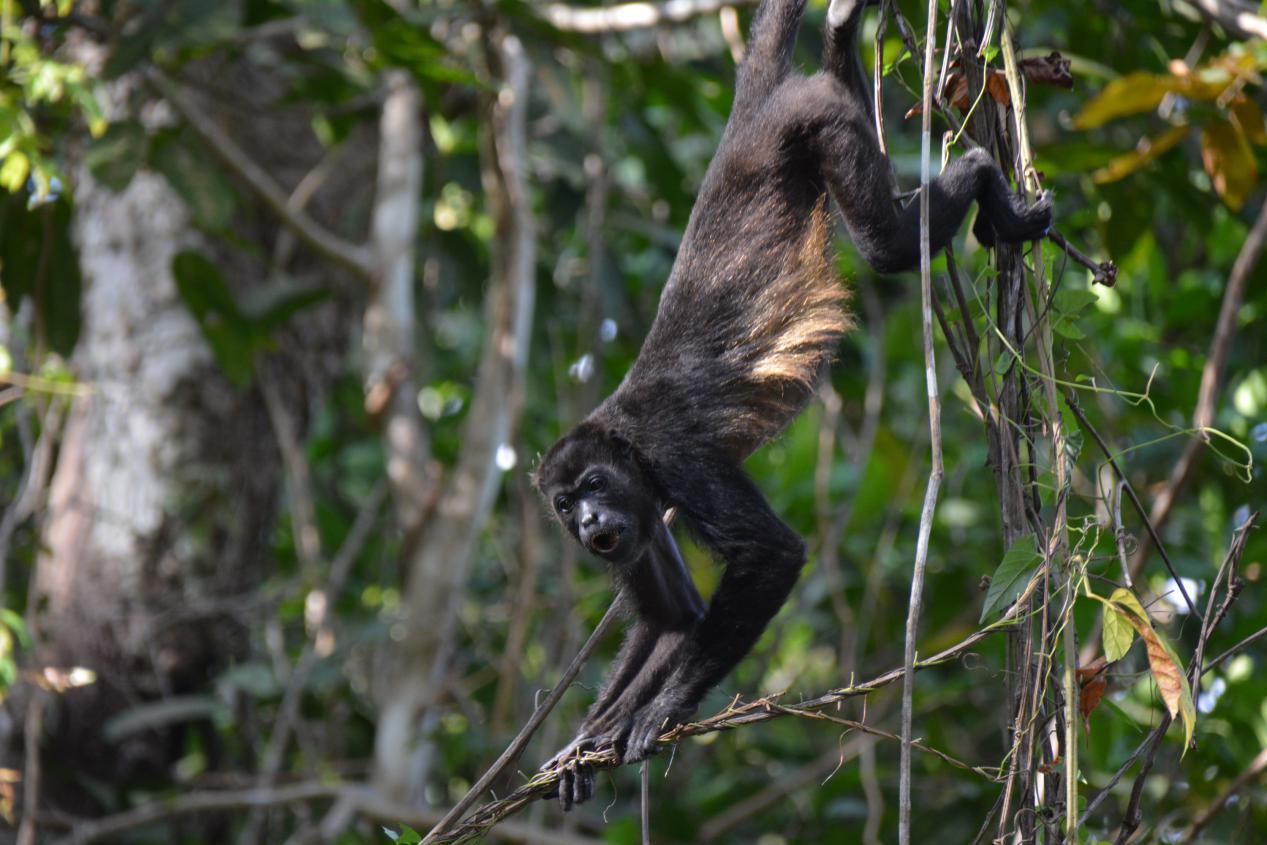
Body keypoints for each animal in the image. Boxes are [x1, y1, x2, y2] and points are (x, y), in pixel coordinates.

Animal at [532, 0, 1049, 810]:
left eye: (591, 485)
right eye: (563, 505)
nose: (586, 524)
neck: (625, 443)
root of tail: (750, 117)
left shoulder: (674, 458)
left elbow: (774, 556)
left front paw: (659, 710)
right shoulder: (644, 507)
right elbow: (672, 617)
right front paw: (589, 737)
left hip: (812, 123)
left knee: (888, 244)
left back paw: (983, 179)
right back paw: (841, 41)